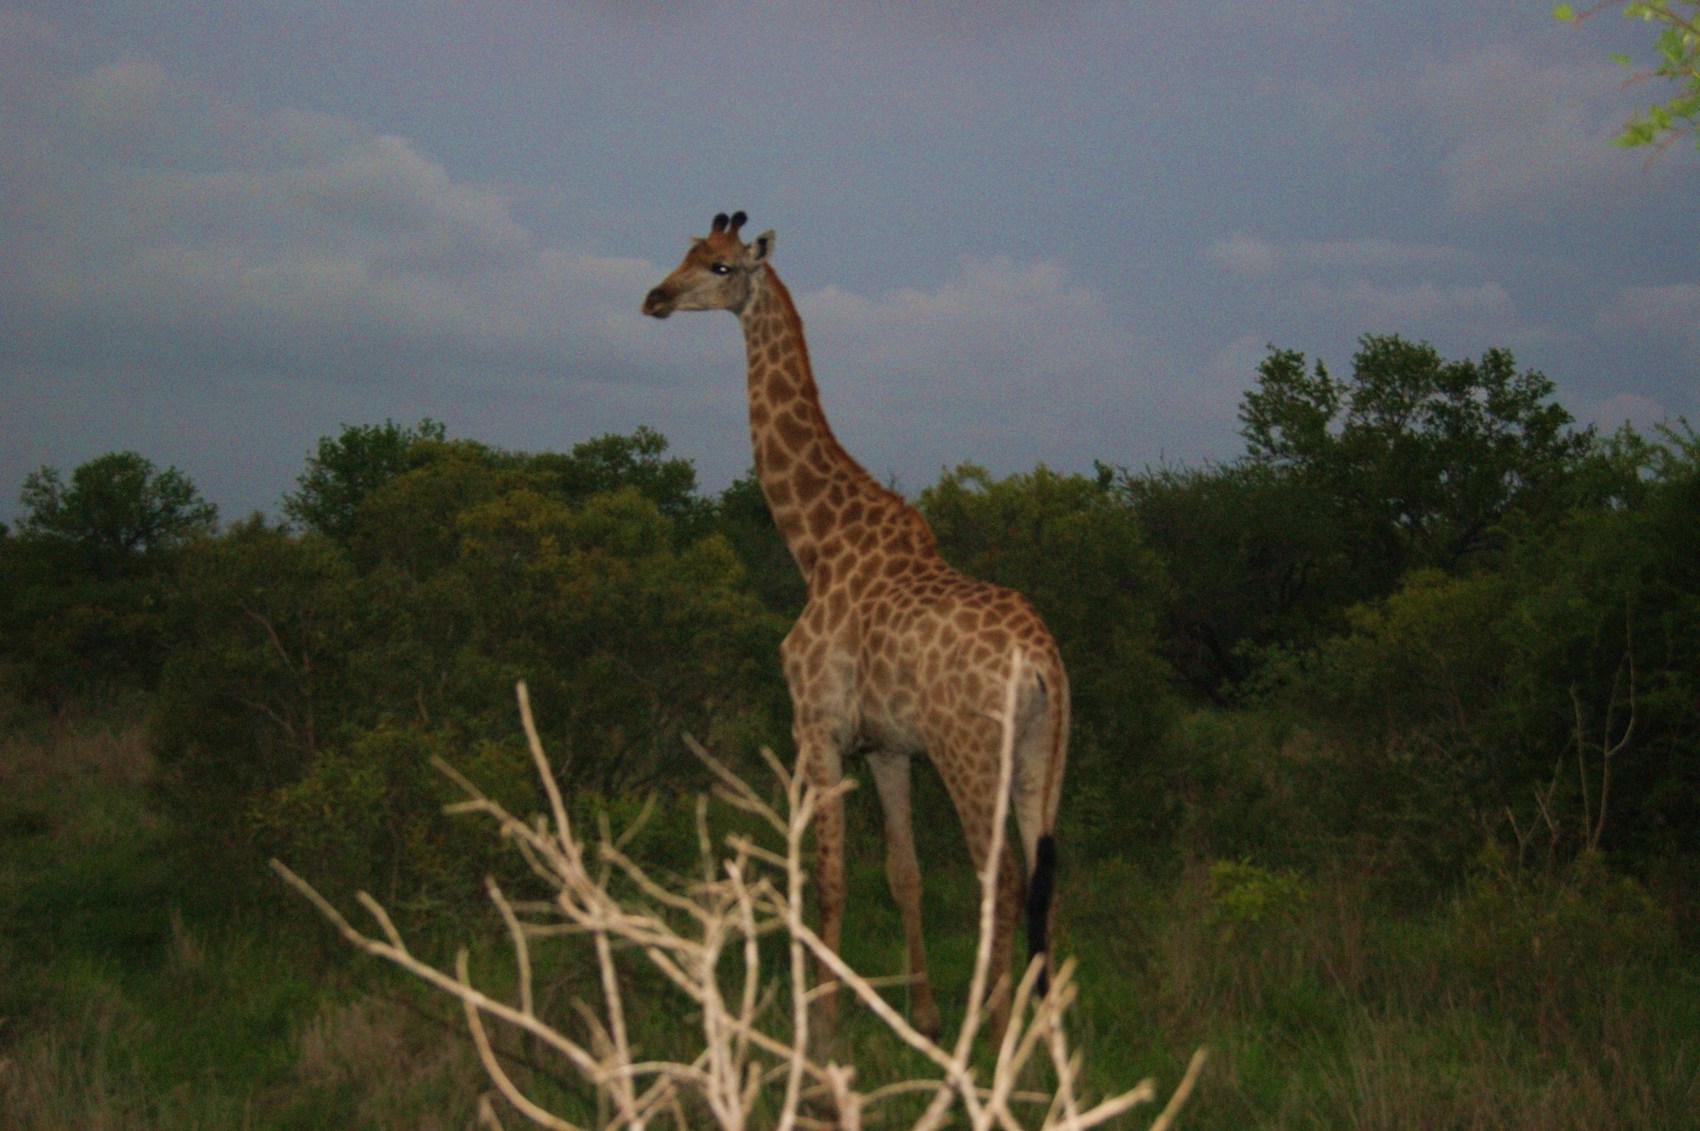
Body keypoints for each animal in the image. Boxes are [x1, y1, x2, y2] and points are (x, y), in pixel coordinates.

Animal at [643, 211, 1068, 1043]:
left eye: (718, 266)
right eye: (682, 251)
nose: (655, 299)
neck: (817, 546)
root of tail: (1043, 664)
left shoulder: (817, 724)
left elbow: (828, 874)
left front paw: (825, 1026)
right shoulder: (886, 745)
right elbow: (903, 872)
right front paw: (922, 1013)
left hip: (973, 753)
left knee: (1000, 875)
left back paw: (994, 1030)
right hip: (1045, 751)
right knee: (1042, 878)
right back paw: (1043, 1038)